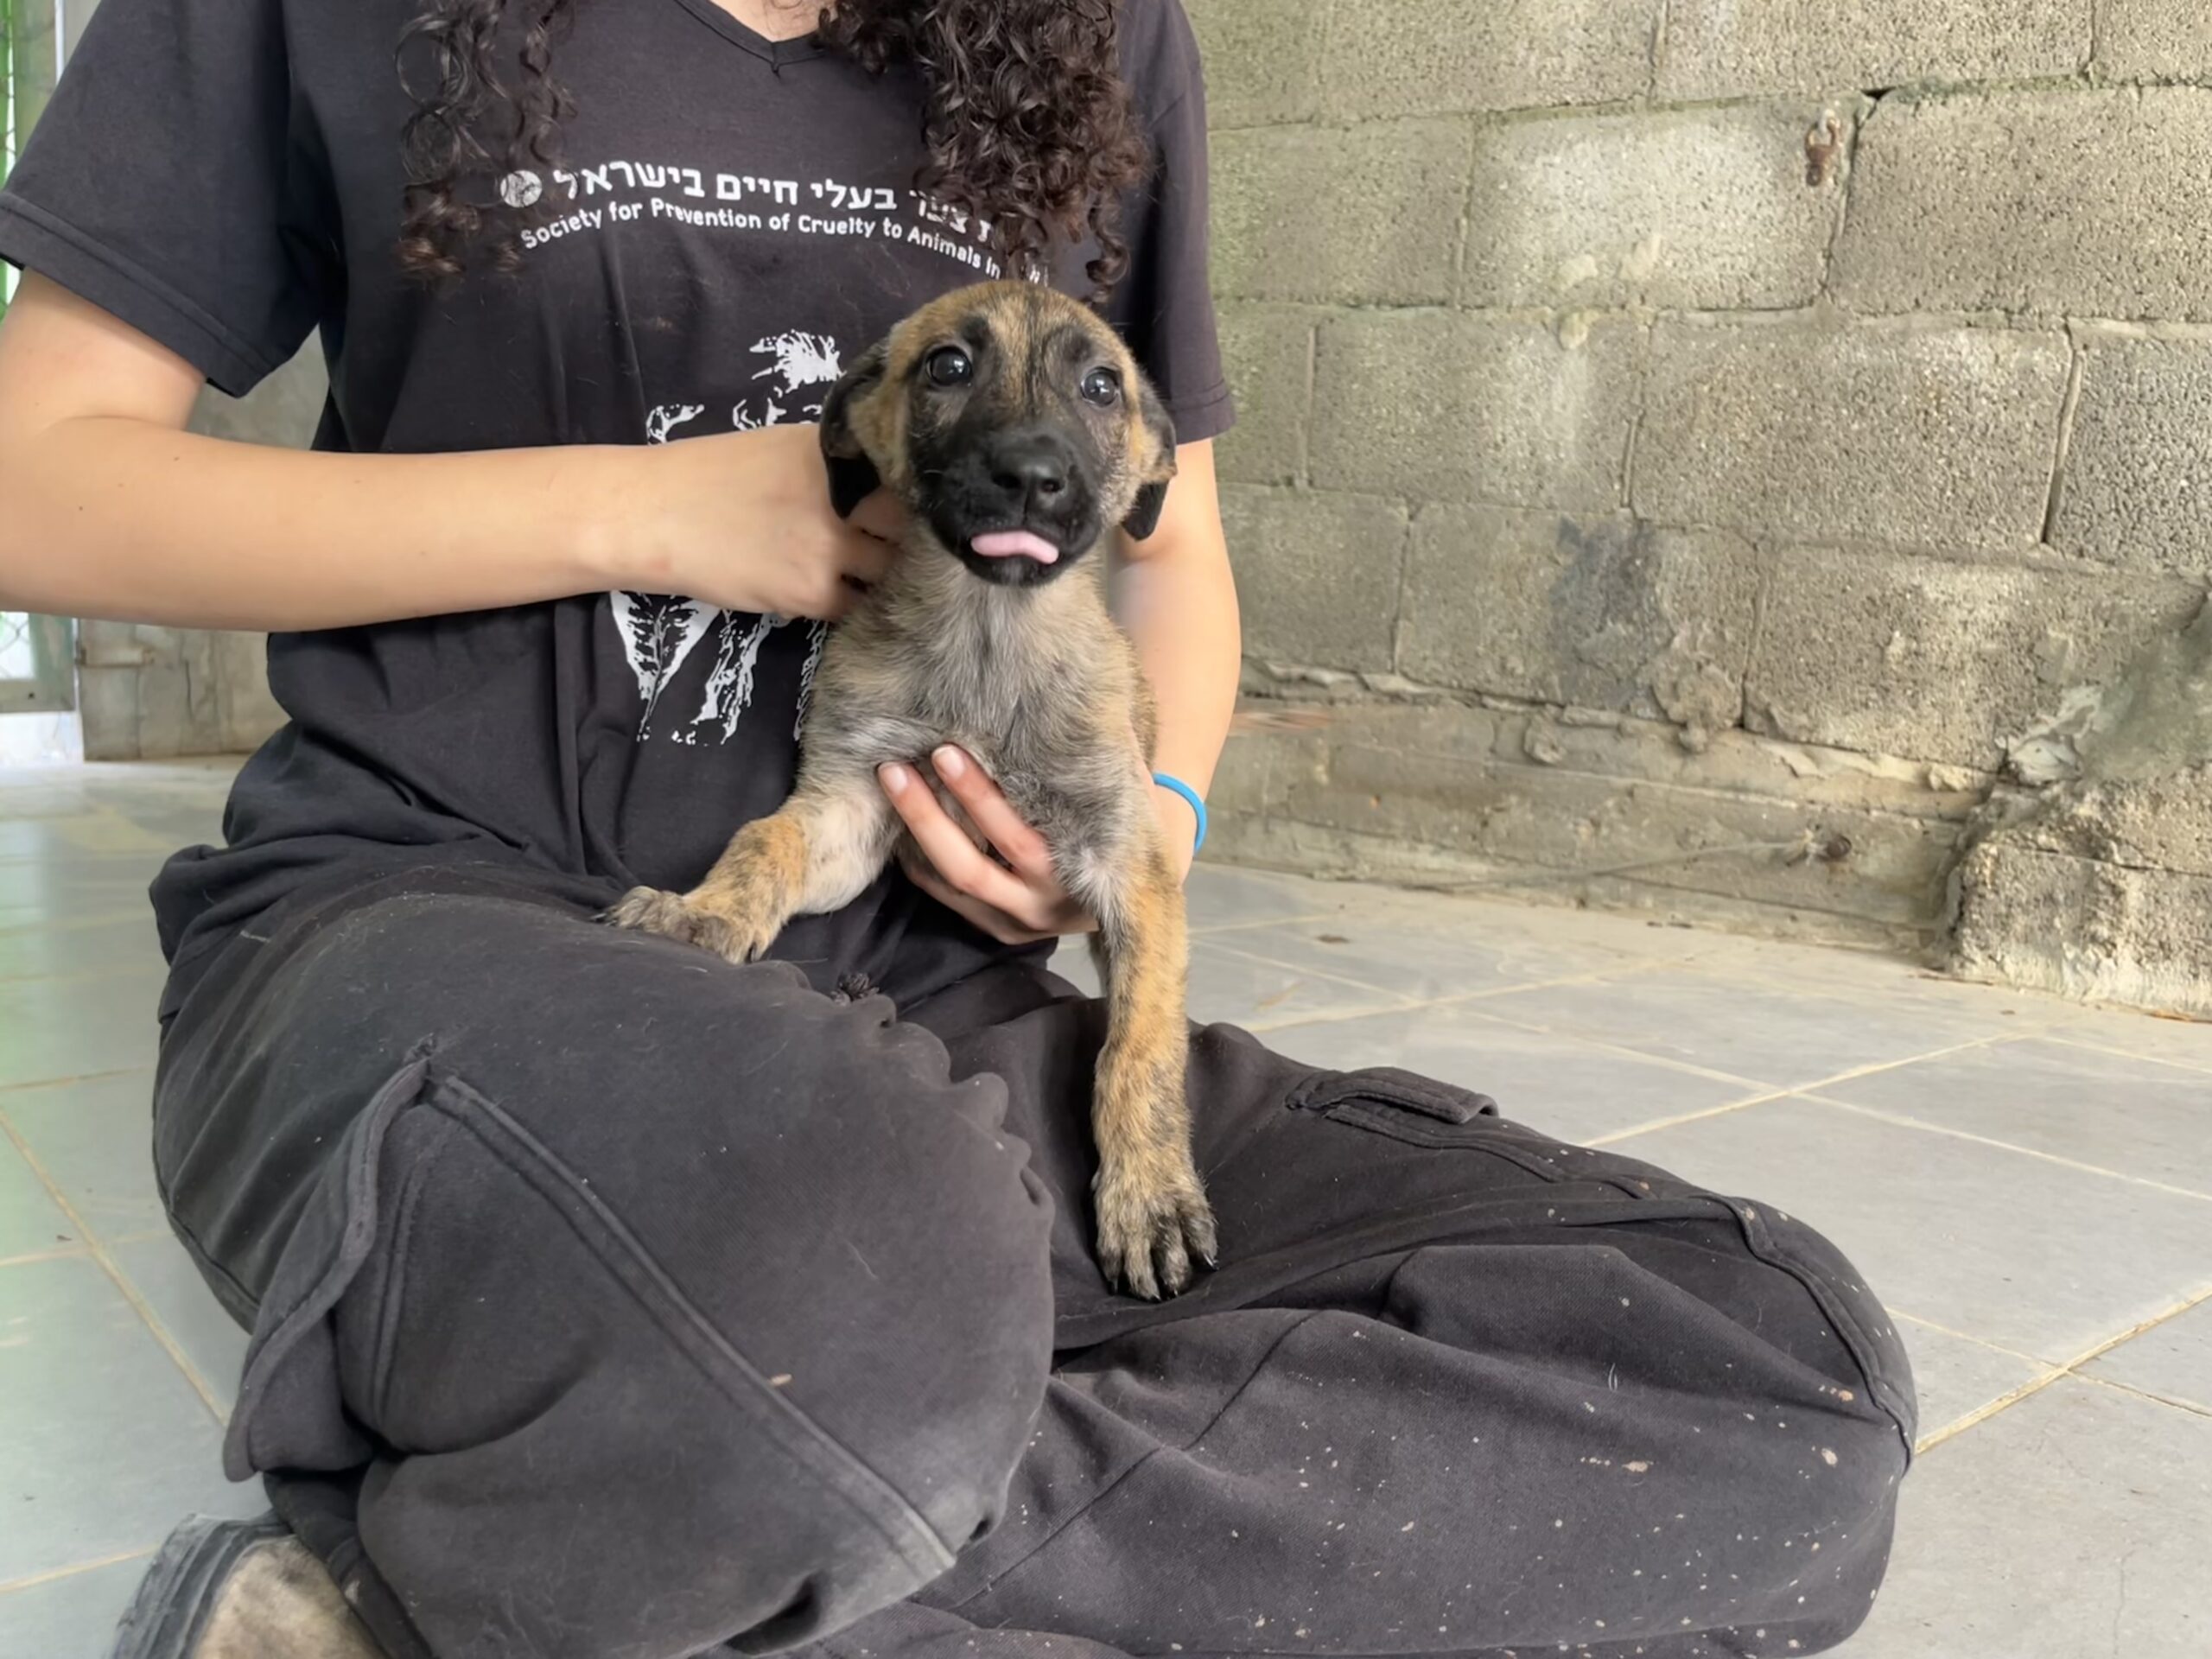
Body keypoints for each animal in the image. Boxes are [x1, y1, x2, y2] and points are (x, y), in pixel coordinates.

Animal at [609, 280, 1217, 1299]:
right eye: (948, 366)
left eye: (1101, 385)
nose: (1030, 475)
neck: (988, 634)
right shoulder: (854, 805)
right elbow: (762, 840)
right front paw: (703, 911)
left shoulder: (1130, 870)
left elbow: (1139, 1047)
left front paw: (1151, 1198)